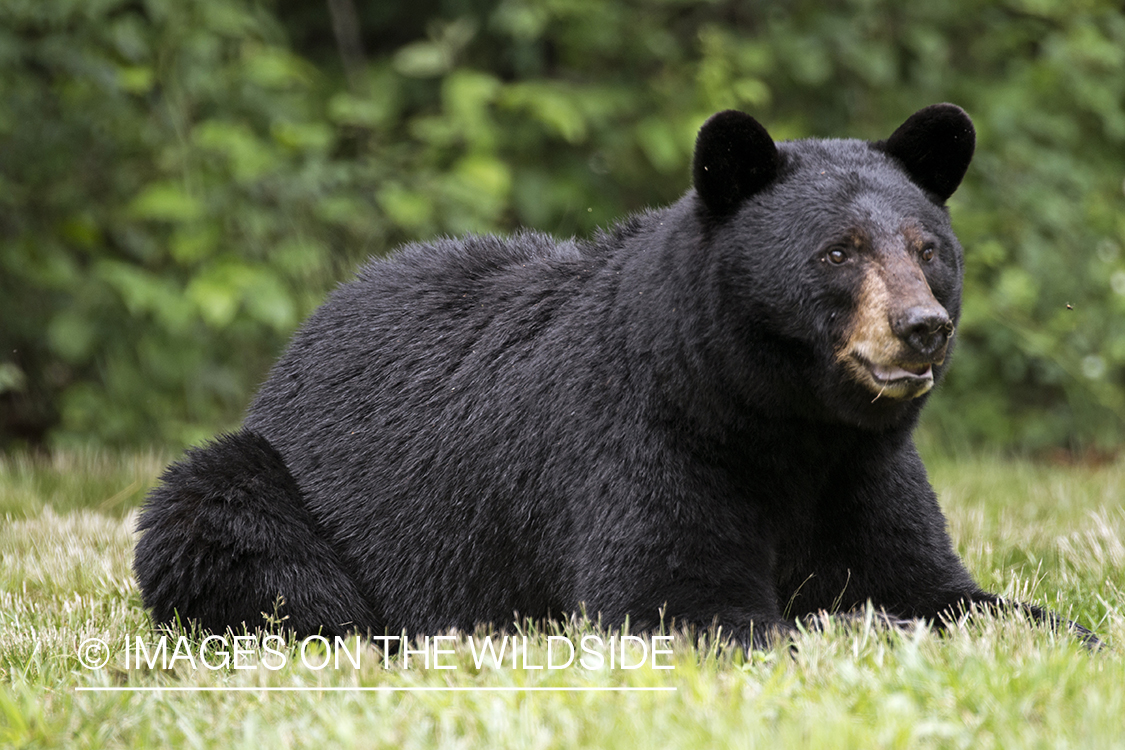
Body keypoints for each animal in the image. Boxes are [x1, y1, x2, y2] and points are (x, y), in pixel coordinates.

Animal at [133, 105, 1098, 652]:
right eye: (837, 251)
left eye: (927, 249)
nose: (921, 329)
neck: (784, 425)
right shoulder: (640, 445)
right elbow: (677, 596)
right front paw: (835, 634)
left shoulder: (865, 472)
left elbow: (937, 585)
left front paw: (1059, 637)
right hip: (269, 488)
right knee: (243, 533)